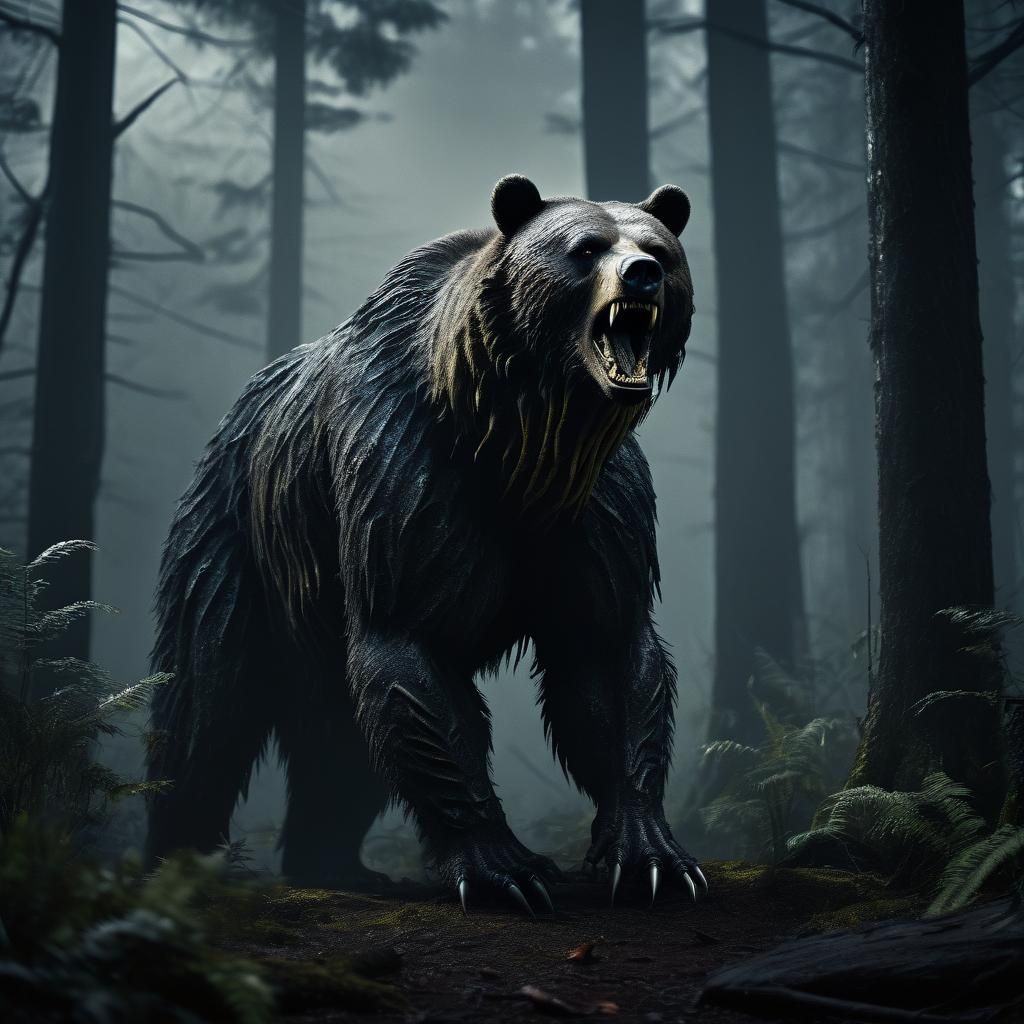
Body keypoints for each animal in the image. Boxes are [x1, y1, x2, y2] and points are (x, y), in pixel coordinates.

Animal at [145, 175, 704, 913]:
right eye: (586, 248)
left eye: (659, 249)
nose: (641, 274)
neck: (521, 441)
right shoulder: (405, 477)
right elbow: (414, 658)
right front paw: (506, 869)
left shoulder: (598, 510)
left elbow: (608, 652)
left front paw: (652, 857)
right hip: (236, 546)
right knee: (206, 709)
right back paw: (175, 861)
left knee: (336, 736)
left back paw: (334, 863)